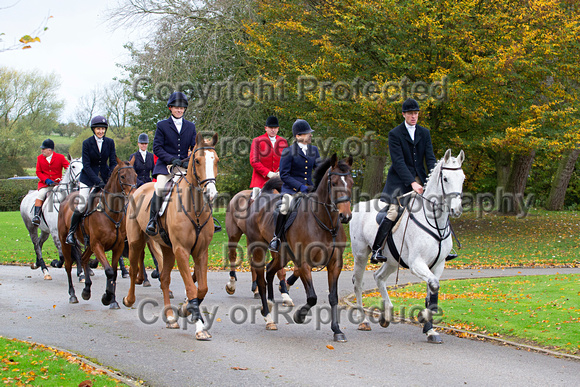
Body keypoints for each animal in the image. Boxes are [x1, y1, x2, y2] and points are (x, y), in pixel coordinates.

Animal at [58, 158, 138, 310]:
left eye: (136, 175)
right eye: (123, 176)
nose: (133, 195)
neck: (111, 212)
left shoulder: (118, 246)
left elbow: (114, 273)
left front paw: (113, 300)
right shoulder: (98, 245)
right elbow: (109, 271)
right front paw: (107, 297)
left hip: (89, 245)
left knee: (83, 259)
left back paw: (86, 290)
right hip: (66, 241)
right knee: (68, 266)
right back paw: (73, 295)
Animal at [123, 133, 219, 342]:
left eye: (216, 160)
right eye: (197, 160)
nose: (211, 193)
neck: (195, 208)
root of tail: (138, 189)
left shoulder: (201, 252)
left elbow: (202, 288)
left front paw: (186, 308)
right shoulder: (181, 250)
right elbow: (191, 287)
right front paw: (200, 328)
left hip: (167, 250)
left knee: (165, 279)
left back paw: (169, 318)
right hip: (136, 243)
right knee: (133, 270)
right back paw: (128, 299)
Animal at [245, 155, 354, 342]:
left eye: (351, 182)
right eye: (333, 183)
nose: (345, 216)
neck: (325, 222)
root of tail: (263, 196)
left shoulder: (335, 264)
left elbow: (333, 297)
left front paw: (337, 330)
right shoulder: (304, 263)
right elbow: (312, 297)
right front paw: (299, 316)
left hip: (283, 255)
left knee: (270, 270)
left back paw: (272, 302)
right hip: (258, 249)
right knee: (260, 279)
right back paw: (267, 316)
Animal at [348, 150, 466, 344]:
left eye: (462, 178)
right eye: (446, 178)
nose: (456, 210)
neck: (435, 222)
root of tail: (358, 205)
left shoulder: (438, 265)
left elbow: (432, 291)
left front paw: (430, 329)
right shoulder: (416, 263)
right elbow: (433, 285)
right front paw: (423, 318)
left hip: (391, 260)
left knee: (379, 277)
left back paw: (387, 315)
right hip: (361, 255)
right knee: (358, 283)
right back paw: (364, 321)